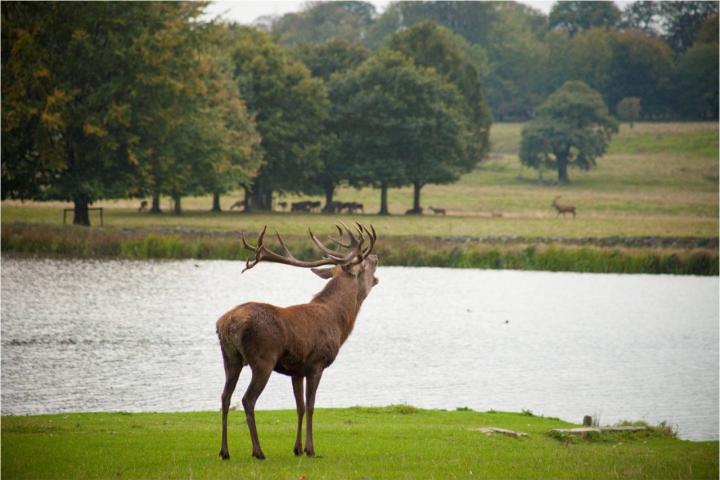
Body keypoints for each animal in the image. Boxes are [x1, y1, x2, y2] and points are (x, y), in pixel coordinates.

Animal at [217, 223, 380, 460]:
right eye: (365, 263)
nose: (376, 257)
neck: (338, 322)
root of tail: (227, 323)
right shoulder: (316, 364)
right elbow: (311, 406)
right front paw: (311, 449)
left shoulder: (296, 370)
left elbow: (299, 407)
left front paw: (297, 448)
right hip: (263, 359)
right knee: (248, 399)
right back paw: (258, 451)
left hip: (230, 357)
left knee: (224, 398)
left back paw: (224, 451)